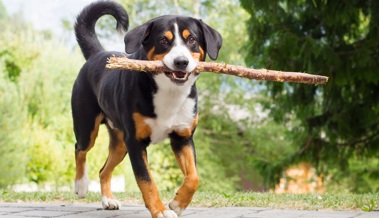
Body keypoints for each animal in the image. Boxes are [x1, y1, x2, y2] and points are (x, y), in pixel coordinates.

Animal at [72, 0, 223, 218]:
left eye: (192, 39)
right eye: (163, 40)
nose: (181, 62)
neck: (169, 93)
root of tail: (97, 54)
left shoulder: (182, 138)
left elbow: (194, 177)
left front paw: (178, 203)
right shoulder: (136, 142)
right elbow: (146, 180)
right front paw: (160, 210)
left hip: (120, 143)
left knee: (103, 170)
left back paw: (108, 200)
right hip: (87, 127)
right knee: (80, 149)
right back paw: (81, 184)